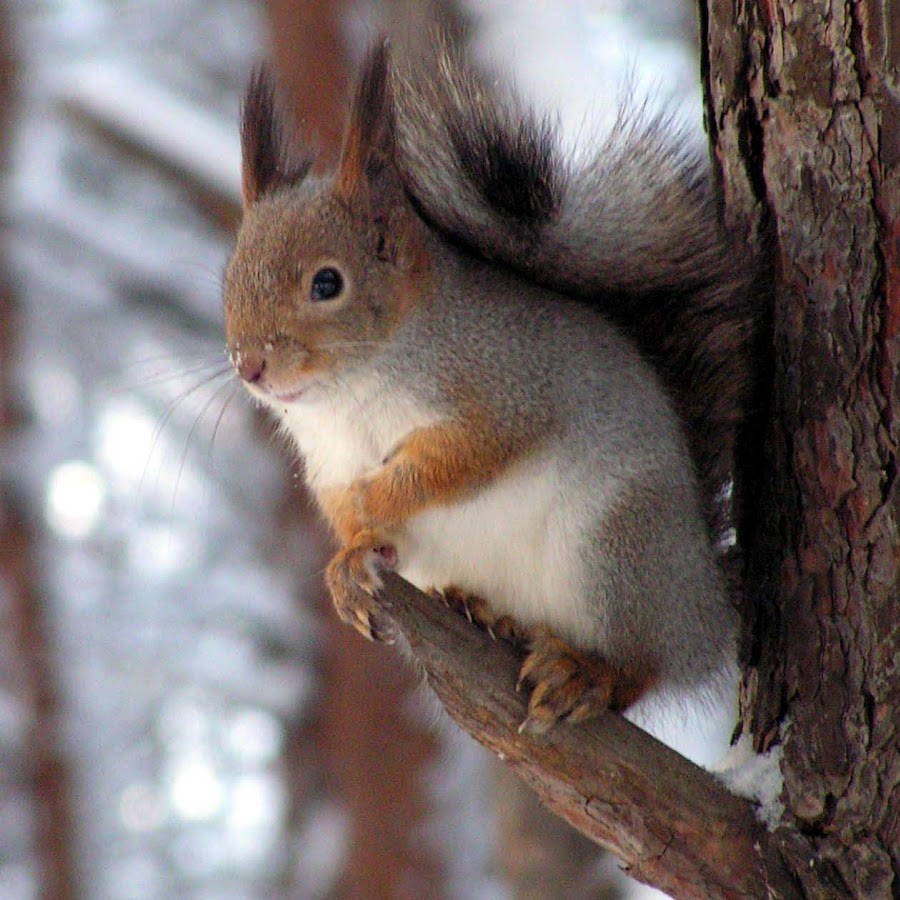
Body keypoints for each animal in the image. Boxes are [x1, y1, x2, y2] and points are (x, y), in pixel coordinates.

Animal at [220, 38, 760, 736]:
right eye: (230, 278)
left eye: (327, 283)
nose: (249, 365)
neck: (351, 391)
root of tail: (707, 604)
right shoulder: (328, 460)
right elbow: (345, 509)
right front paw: (352, 557)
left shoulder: (508, 391)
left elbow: (456, 462)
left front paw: (379, 497)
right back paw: (482, 610)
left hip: (617, 551)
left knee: (645, 665)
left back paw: (585, 675)